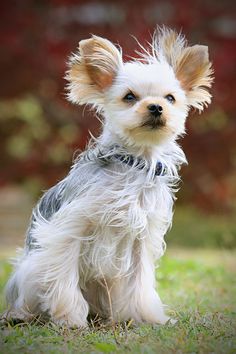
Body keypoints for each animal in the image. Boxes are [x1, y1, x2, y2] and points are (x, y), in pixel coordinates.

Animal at [4, 26, 214, 328]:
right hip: (32, 269)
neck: (135, 162)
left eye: (170, 98)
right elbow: (64, 276)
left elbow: (140, 281)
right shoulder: (69, 230)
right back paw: (22, 314)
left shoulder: (141, 239)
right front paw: (70, 318)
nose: (156, 107)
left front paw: (147, 317)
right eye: (129, 97)